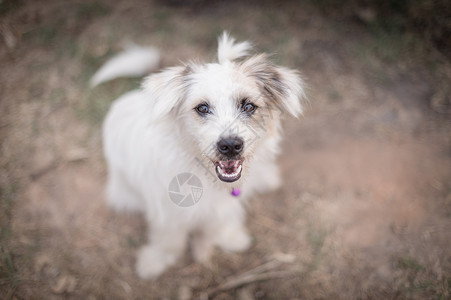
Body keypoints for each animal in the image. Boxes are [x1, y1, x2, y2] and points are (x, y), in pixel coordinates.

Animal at [98, 32, 308, 278]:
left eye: (248, 106)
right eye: (202, 108)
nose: (230, 145)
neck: (206, 177)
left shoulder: (221, 207)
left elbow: (215, 226)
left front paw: (223, 240)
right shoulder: (167, 213)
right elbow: (170, 241)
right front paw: (155, 261)